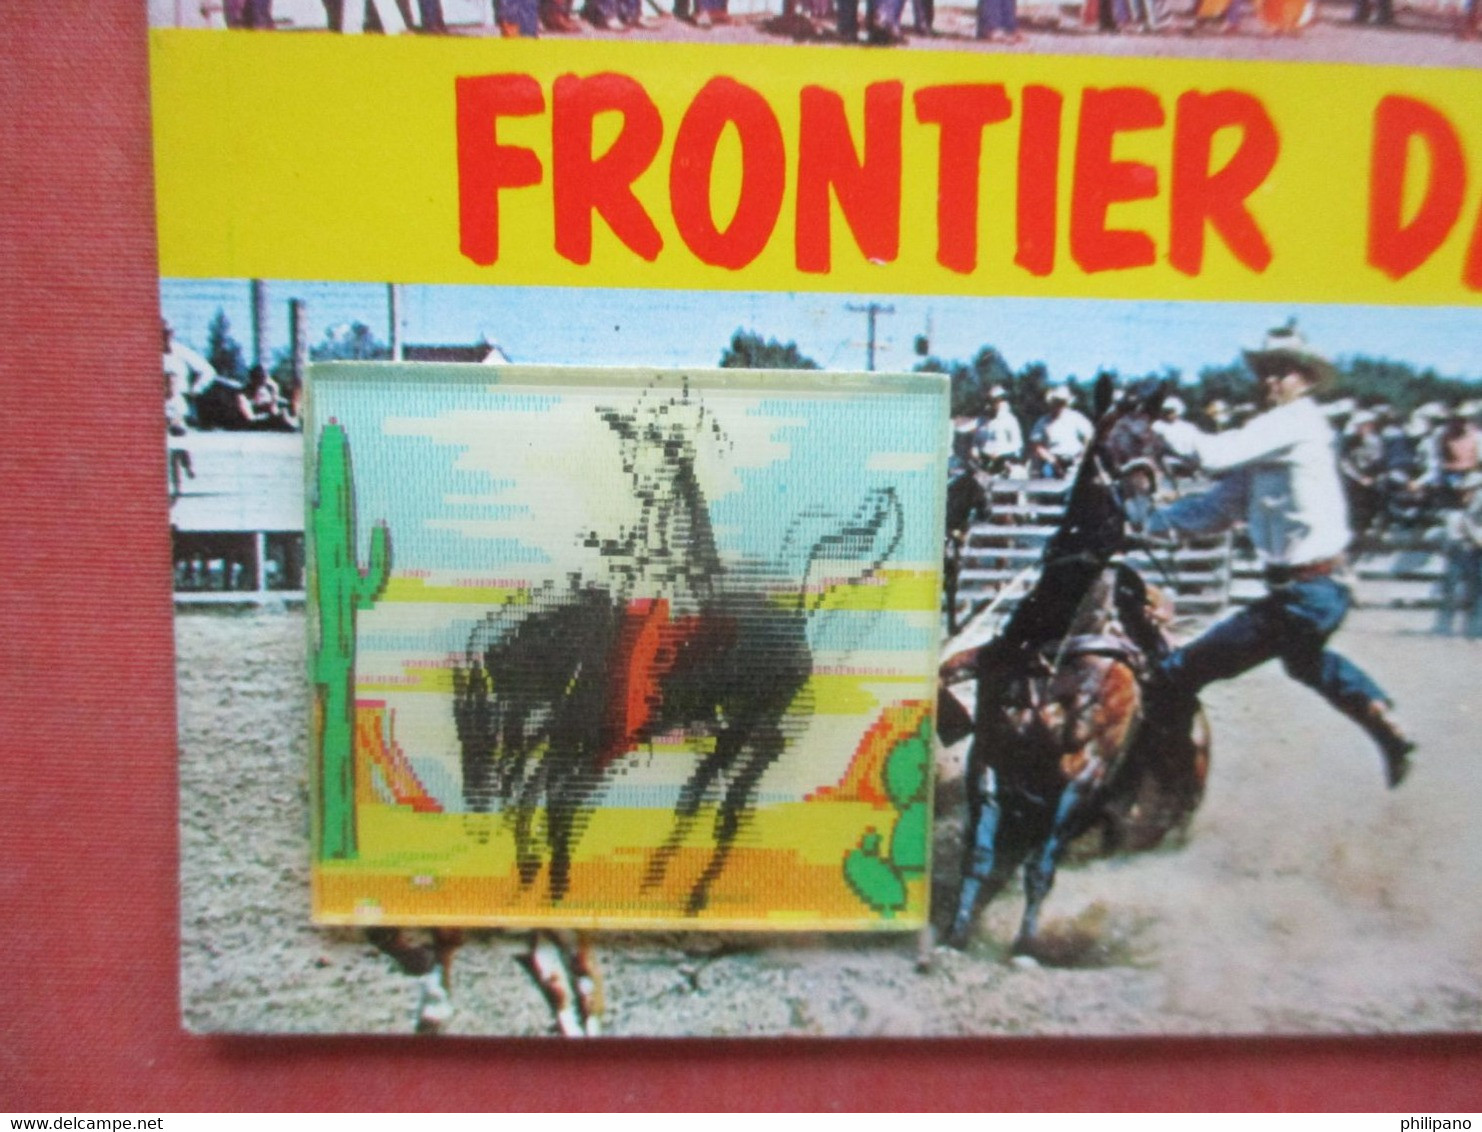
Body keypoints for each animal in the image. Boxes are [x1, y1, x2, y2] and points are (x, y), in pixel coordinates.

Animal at [450, 385, 901, 912]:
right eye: (461, 727)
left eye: (483, 721)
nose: (476, 804)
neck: (581, 647)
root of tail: (796, 622)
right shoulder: (565, 742)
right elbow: (537, 803)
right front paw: (529, 879)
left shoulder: (588, 747)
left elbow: (557, 808)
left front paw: (552, 885)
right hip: (739, 719)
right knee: (726, 778)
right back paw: (662, 873)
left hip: (747, 718)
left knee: (725, 788)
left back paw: (686, 884)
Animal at [942, 377, 1209, 954]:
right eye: (1109, 443)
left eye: (1158, 447)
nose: (1140, 510)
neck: (1056, 639)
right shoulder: (989, 756)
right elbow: (979, 856)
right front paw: (955, 933)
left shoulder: (1085, 774)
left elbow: (1041, 867)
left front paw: (1024, 945)